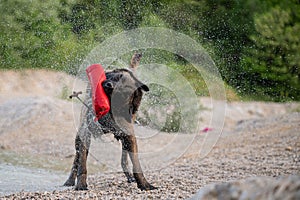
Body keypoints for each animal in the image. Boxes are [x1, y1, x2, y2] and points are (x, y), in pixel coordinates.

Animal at [63, 53, 157, 191]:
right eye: (113, 77)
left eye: (124, 87)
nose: (108, 85)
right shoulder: (85, 132)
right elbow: (82, 163)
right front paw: (81, 184)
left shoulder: (129, 136)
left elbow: (135, 163)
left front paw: (144, 184)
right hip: (79, 136)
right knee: (77, 158)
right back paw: (70, 180)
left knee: (124, 158)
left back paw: (129, 176)